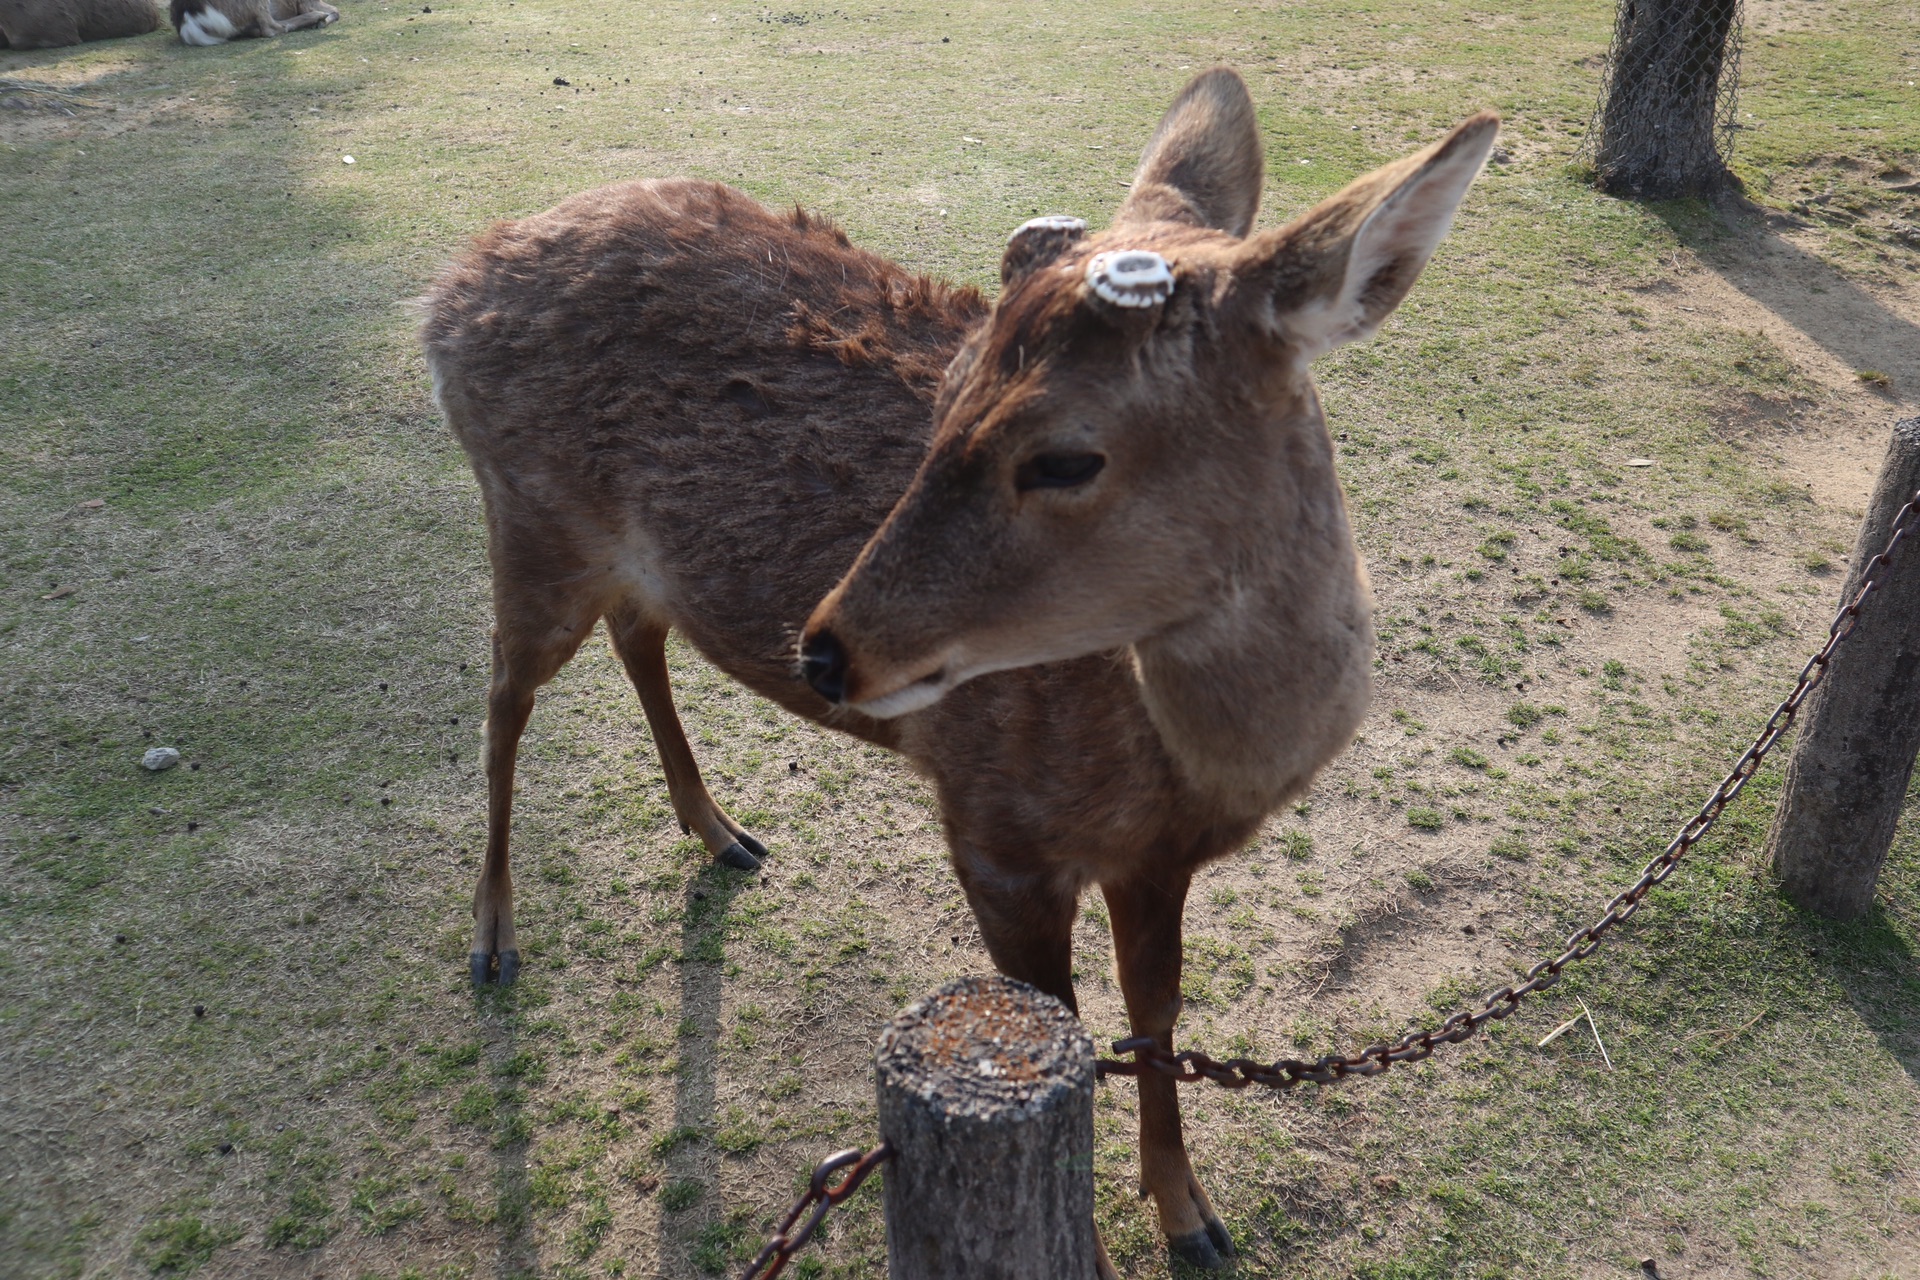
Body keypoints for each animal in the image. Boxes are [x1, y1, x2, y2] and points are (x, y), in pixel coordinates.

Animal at [424, 72, 1497, 1274]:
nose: (823, 647)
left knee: (636, 634)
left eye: (1064, 455)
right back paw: (494, 936)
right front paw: (1101, 1244)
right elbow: (1066, 1033)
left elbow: (1156, 1020)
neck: (1194, 766)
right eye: (946, 395)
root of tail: (450, 283)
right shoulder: (996, 830)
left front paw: (1192, 1214)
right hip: (529, 519)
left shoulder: (1156, 861)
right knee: (504, 693)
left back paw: (722, 830)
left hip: (608, 557)